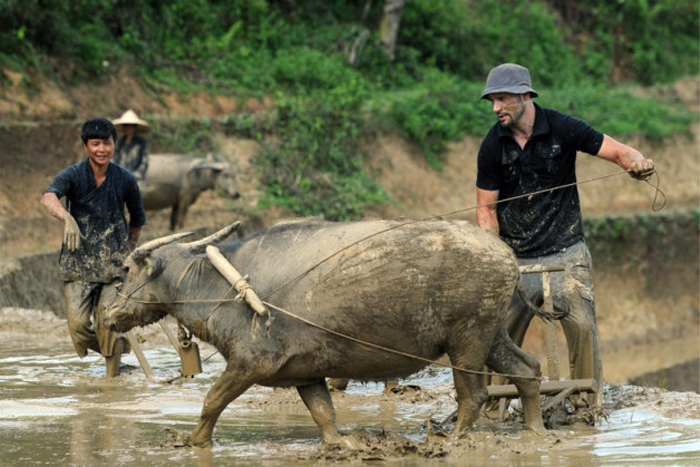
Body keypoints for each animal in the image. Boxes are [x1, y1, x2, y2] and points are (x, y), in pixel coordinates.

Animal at [104, 219, 544, 450]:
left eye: (125, 269)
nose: (108, 314)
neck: (219, 285)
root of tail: (506, 255)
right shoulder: (307, 373)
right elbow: (323, 414)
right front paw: (342, 444)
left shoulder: (248, 365)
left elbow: (211, 401)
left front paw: (192, 441)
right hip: (492, 336)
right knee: (528, 370)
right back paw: (535, 430)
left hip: (467, 341)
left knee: (475, 394)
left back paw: (453, 439)